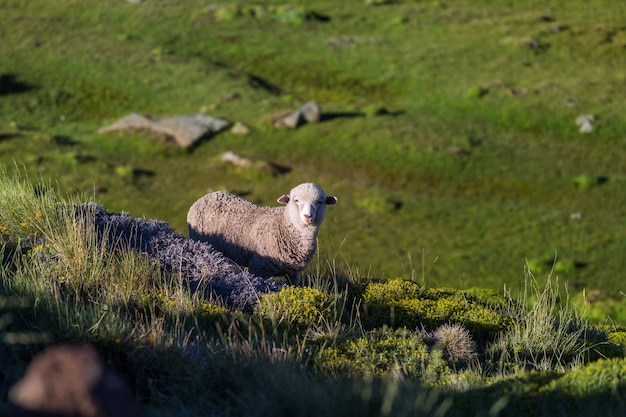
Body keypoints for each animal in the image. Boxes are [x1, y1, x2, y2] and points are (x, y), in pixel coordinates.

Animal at [185, 183, 336, 284]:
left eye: (319, 202)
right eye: (296, 200)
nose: (307, 216)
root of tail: (207, 196)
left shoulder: (293, 275)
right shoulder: (258, 268)